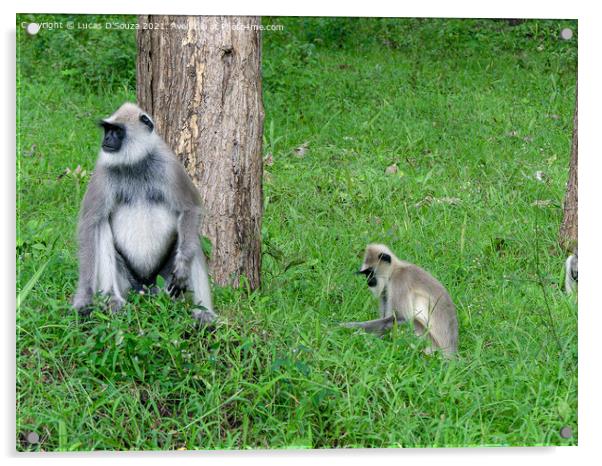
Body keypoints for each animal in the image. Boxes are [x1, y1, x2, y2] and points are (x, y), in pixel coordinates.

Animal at [72, 102, 216, 324]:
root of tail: (146, 288)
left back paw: (204, 314)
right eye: (107, 130)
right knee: (101, 224)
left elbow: (190, 208)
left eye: (117, 131)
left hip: (164, 281)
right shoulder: (103, 169)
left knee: (193, 243)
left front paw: (183, 266)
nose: (106, 140)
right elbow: (89, 223)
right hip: (128, 282)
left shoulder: (168, 164)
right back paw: (113, 299)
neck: (134, 163)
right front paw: (84, 297)